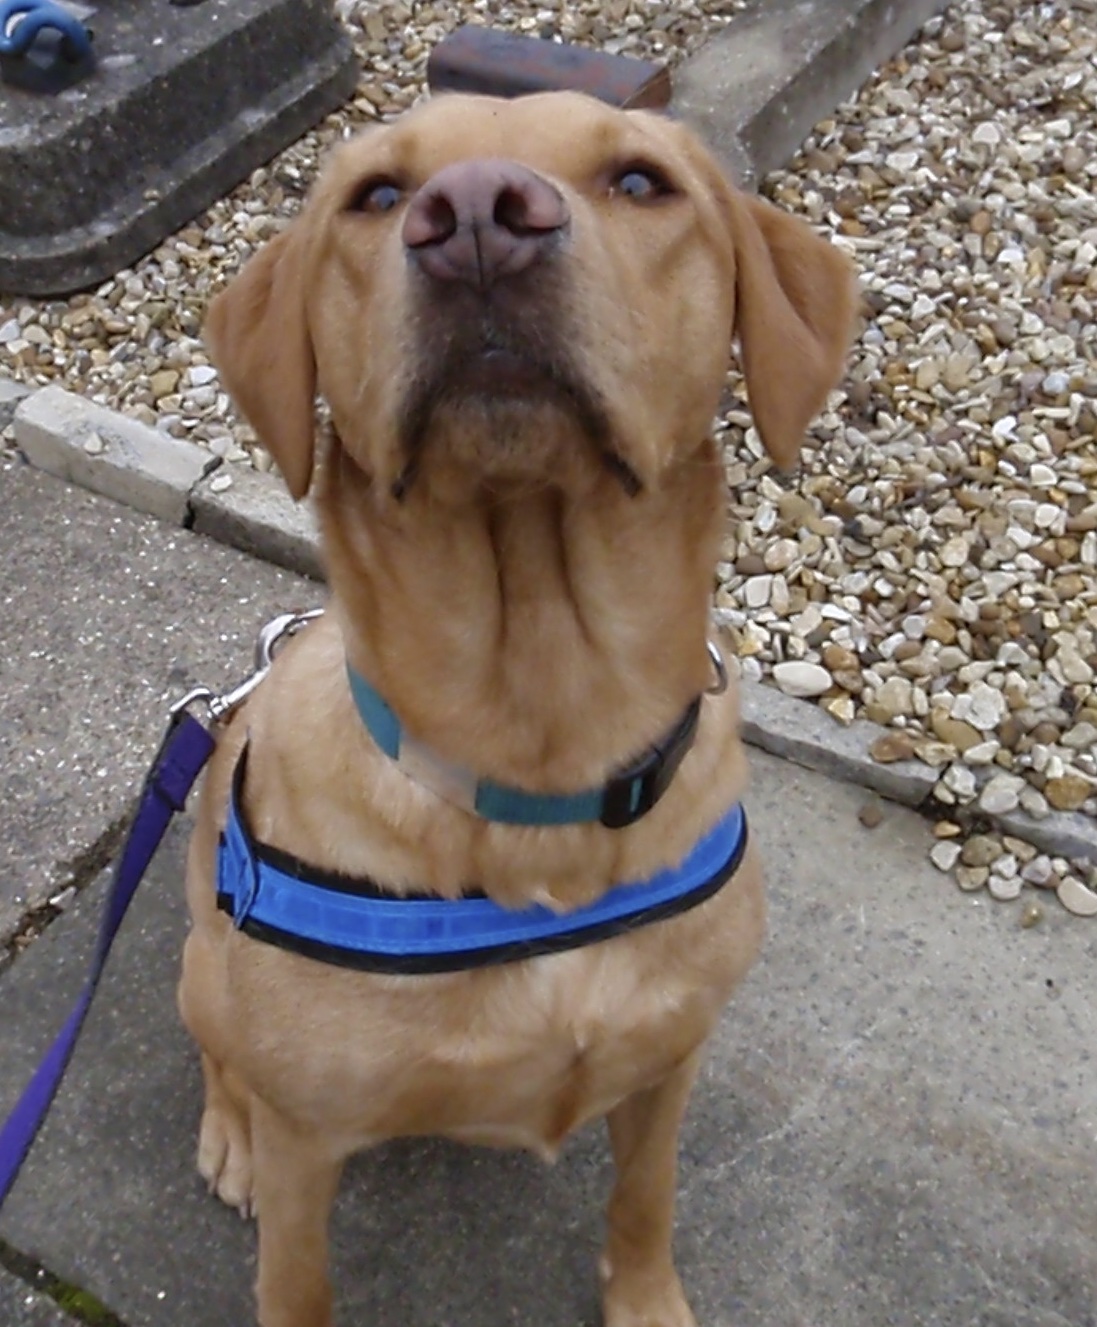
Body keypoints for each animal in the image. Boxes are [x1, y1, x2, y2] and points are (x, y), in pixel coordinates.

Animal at [177, 93, 859, 1327]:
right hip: (205, 969)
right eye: (379, 196)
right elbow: (296, 1281)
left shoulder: (667, 1060)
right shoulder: (309, 1140)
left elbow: (643, 1199)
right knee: (220, 1055)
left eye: (639, 183)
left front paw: (645, 1300)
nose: (477, 222)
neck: (541, 739)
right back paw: (228, 1137)